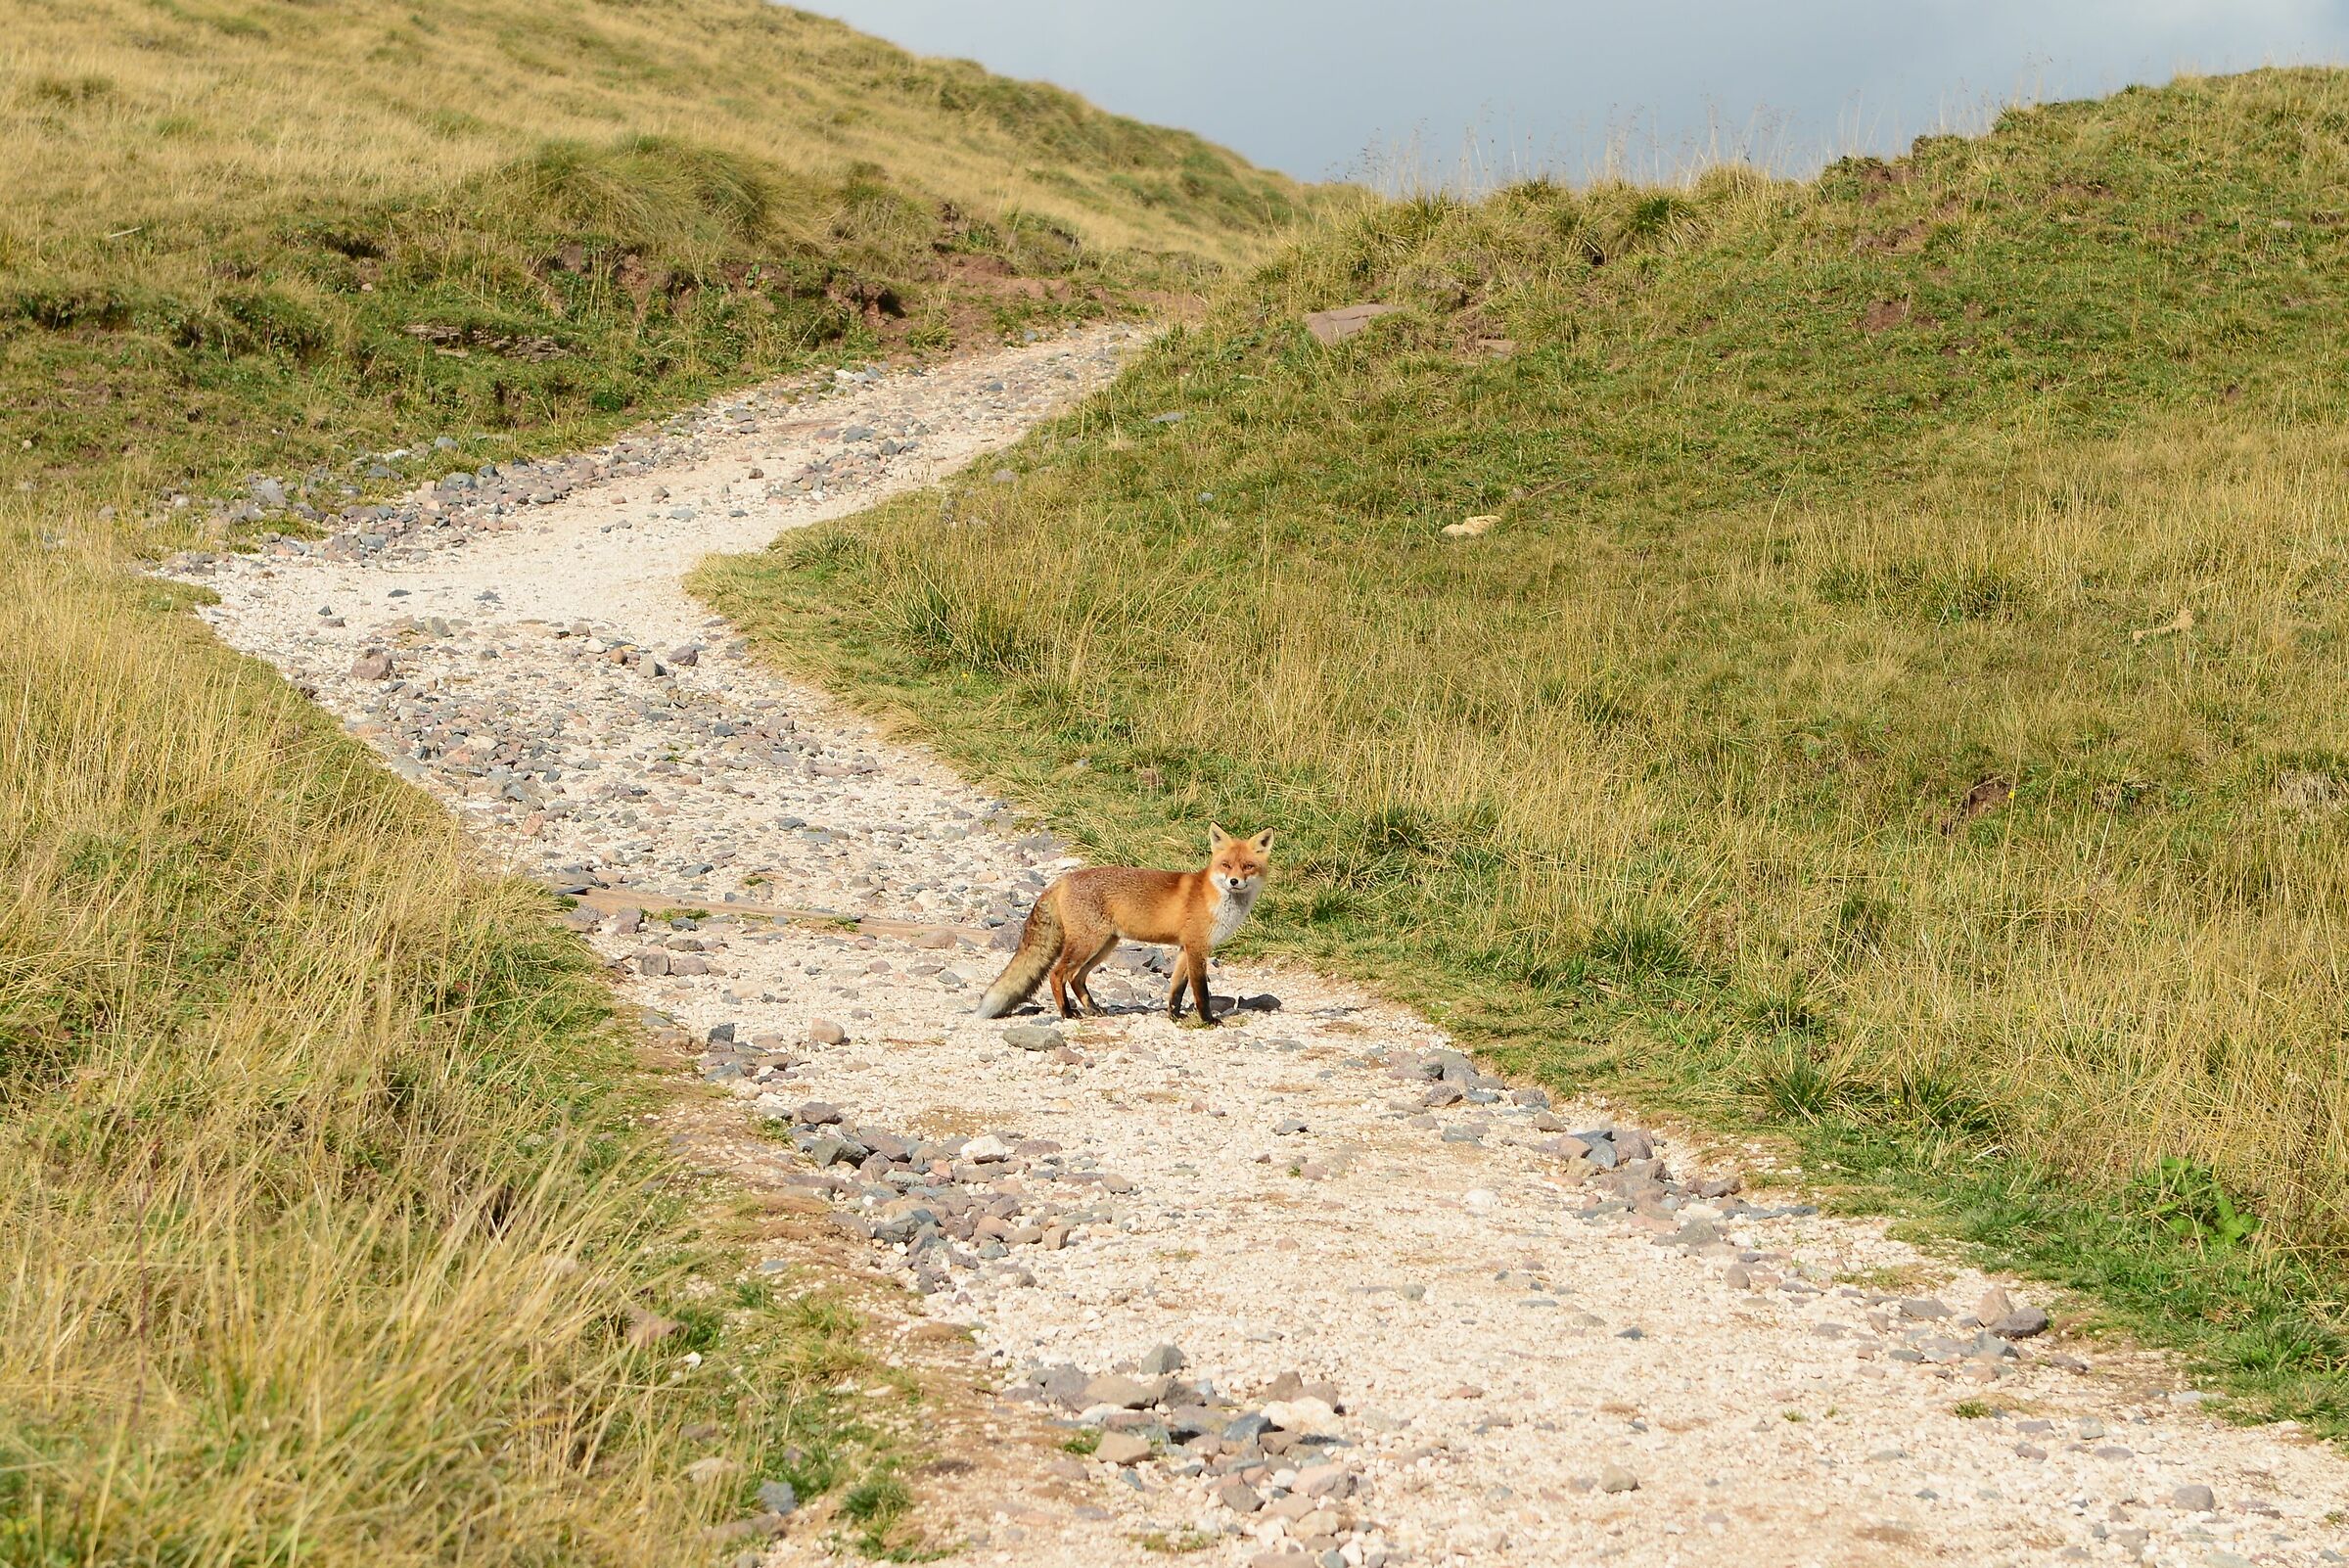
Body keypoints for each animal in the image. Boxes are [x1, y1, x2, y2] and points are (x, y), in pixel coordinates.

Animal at [974, 825, 1276, 1025]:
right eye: (1226, 865)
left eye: (1248, 866)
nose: (1234, 881)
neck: (1216, 900)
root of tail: (1063, 880)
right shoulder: (1197, 947)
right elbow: (1201, 991)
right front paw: (1208, 1020)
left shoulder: (1184, 949)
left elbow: (1176, 989)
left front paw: (1174, 1015)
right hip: (1087, 944)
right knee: (1057, 974)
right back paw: (1067, 1013)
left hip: (1105, 945)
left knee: (1076, 978)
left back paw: (1092, 1009)